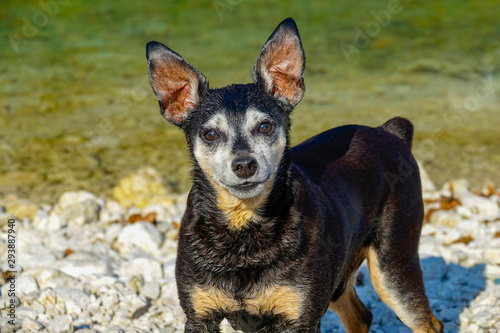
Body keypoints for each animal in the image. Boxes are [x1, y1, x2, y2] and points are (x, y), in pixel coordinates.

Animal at [145, 17, 442, 332]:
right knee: (361, 316)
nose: (244, 164)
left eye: (265, 126)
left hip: (393, 263)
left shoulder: (300, 316)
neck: (243, 228)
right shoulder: (199, 316)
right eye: (210, 134)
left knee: (427, 322)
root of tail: (391, 133)